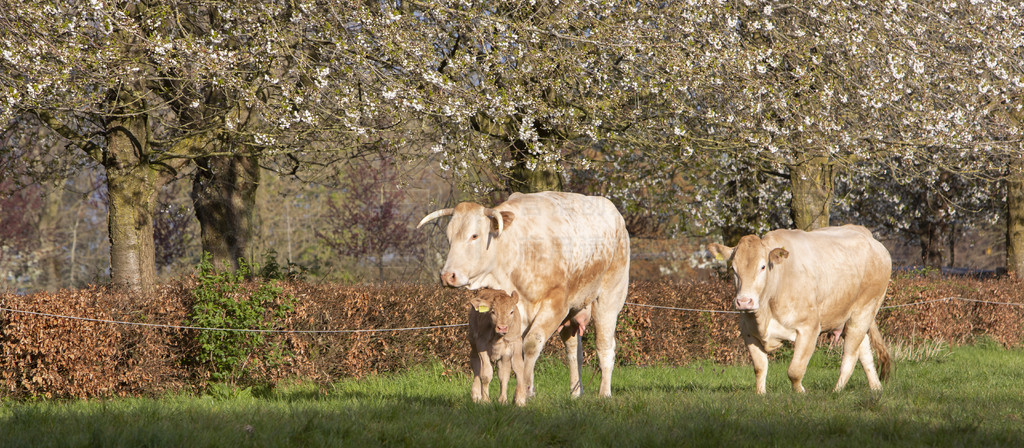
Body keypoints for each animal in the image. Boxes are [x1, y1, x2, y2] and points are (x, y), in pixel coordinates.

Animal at [417, 190, 630, 405]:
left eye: (474, 235)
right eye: (449, 237)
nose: (447, 276)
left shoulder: (555, 305)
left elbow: (531, 345)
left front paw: (524, 392)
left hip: (608, 300)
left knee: (605, 346)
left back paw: (604, 392)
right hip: (573, 315)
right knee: (573, 352)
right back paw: (576, 392)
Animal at [708, 226, 892, 392]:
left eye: (762, 267)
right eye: (733, 269)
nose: (744, 302)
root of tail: (866, 234)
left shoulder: (809, 328)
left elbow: (795, 370)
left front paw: (800, 393)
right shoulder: (748, 332)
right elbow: (760, 368)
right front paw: (760, 394)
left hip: (864, 310)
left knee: (850, 356)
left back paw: (836, 391)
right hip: (852, 319)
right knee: (865, 353)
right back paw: (876, 388)